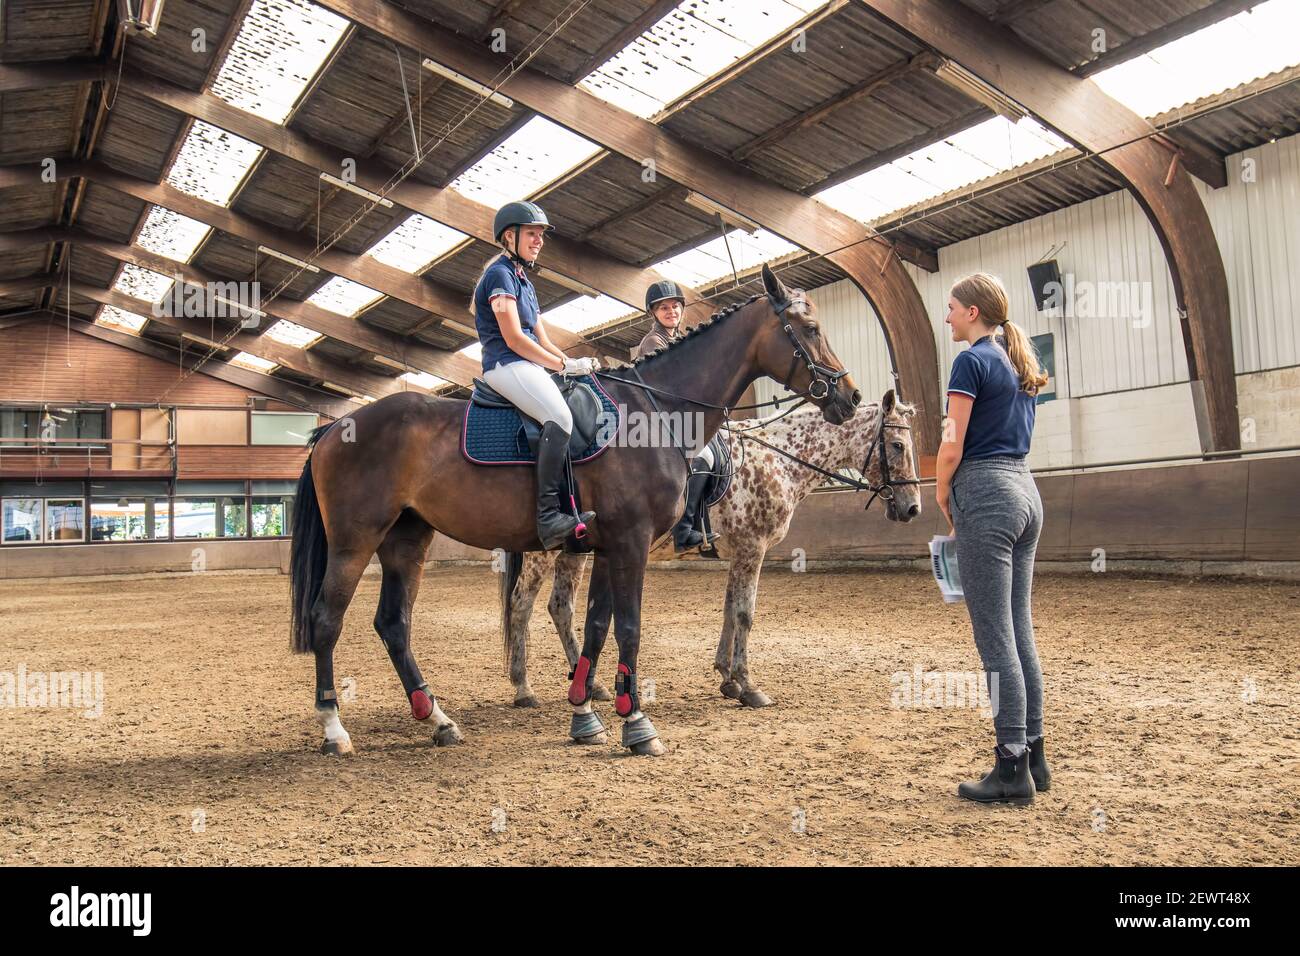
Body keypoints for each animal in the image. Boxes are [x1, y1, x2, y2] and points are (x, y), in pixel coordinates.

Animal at [296, 261, 863, 754]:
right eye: (809, 328)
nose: (851, 397)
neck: (657, 413)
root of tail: (336, 426)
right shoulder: (635, 541)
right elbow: (631, 625)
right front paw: (638, 722)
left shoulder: (611, 545)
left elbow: (596, 624)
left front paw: (585, 713)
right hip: (356, 541)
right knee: (327, 619)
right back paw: (334, 729)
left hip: (406, 539)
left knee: (395, 623)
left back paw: (438, 719)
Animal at [501, 390, 920, 712]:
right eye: (897, 446)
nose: (913, 508)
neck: (780, 458)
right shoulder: (753, 548)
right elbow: (745, 614)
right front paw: (748, 685)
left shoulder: (740, 552)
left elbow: (729, 611)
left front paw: (727, 677)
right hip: (544, 551)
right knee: (521, 606)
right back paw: (523, 687)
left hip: (575, 550)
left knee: (560, 607)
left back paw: (591, 683)